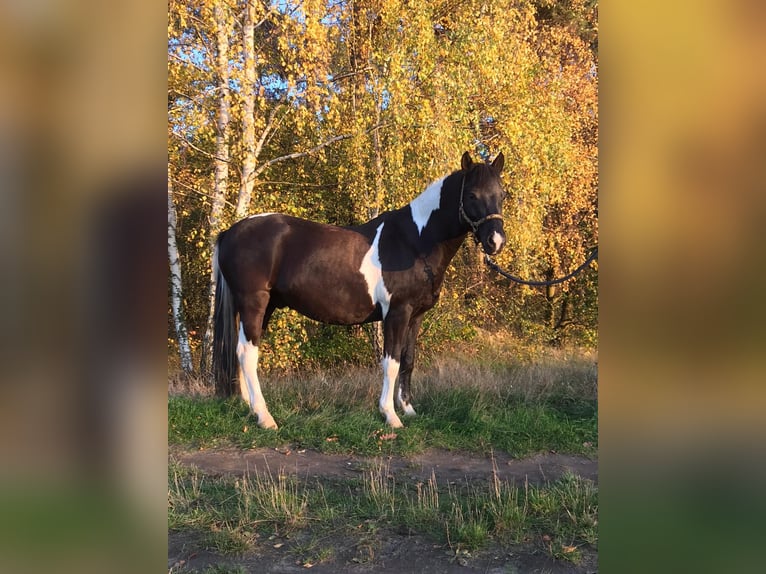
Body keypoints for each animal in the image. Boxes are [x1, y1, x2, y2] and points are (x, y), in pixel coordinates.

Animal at [212, 151, 506, 429]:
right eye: (472, 195)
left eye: (502, 194)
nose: (495, 241)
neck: (415, 241)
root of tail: (230, 232)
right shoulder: (397, 313)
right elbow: (391, 362)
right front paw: (390, 415)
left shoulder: (416, 315)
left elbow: (408, 360)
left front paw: (408, 410)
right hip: (254, 303)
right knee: (248, 353)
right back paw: (265, 417)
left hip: (267, 306)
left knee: (243, 352)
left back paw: (250, 406)